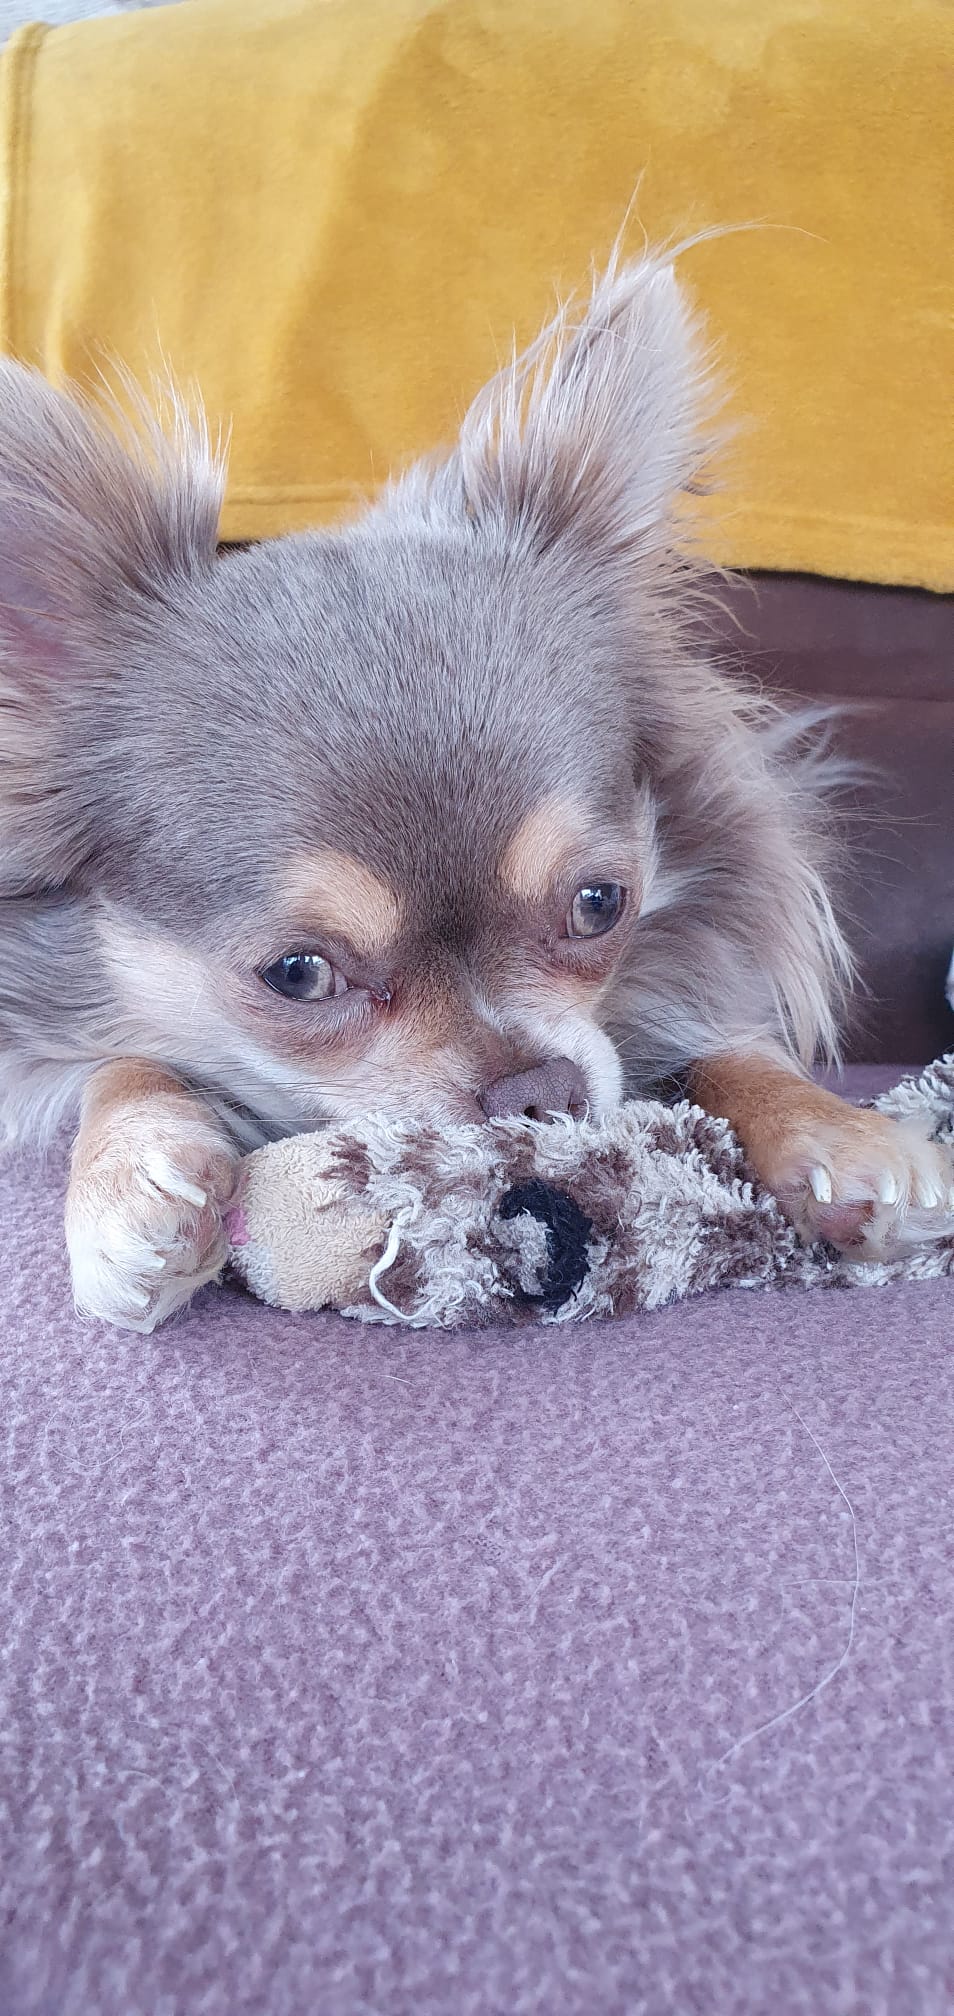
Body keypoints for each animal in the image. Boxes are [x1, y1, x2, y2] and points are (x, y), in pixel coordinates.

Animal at [0, 253, 950, 1329]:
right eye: (298, 974)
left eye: (600, 904)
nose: (535, 1089)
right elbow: (122, 1062)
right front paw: (130, 1175)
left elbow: (734, 1045)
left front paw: (841, 1137)